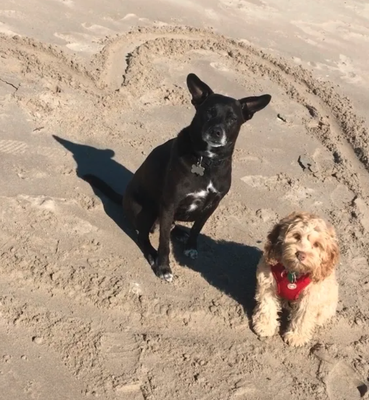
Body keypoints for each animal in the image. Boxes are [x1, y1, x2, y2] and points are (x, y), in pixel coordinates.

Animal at [83, 74, 270, 282]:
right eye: (209, 112)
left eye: (232, 119)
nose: (216, 132)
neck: (205, 161)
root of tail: (123, 197)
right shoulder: (169, 204)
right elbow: (164, 243)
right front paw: (163, 267)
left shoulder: (211, 206)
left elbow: (197, 229)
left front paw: (190, 246)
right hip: (146, 210)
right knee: (144, 236)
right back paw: (152, 254)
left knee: (170, 226)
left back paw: (180, 232)